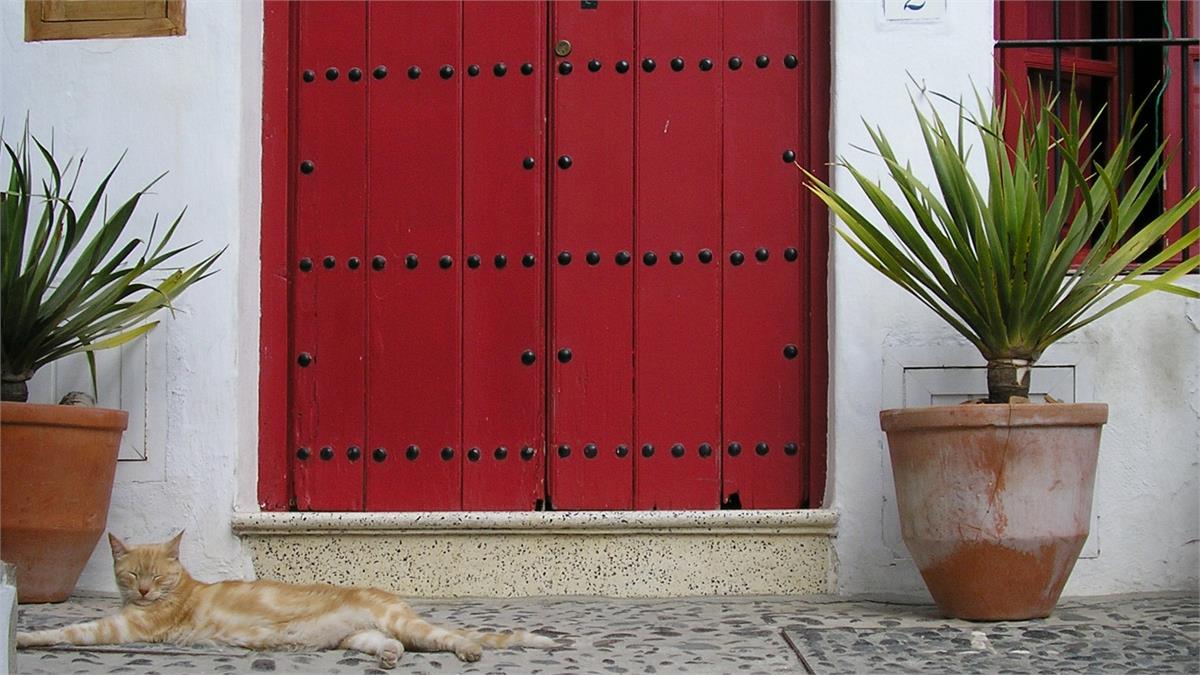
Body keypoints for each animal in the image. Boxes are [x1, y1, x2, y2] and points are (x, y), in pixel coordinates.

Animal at [17, 532, 554, 668]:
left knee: (445, 637)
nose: (145, 591)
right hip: (357, 636)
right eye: (131, 575)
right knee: (392, 644)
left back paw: (468, 649)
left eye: (155, 577)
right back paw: (386, 657)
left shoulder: (130, 629)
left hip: (404, 623)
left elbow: (71, 630)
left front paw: (22, 636)